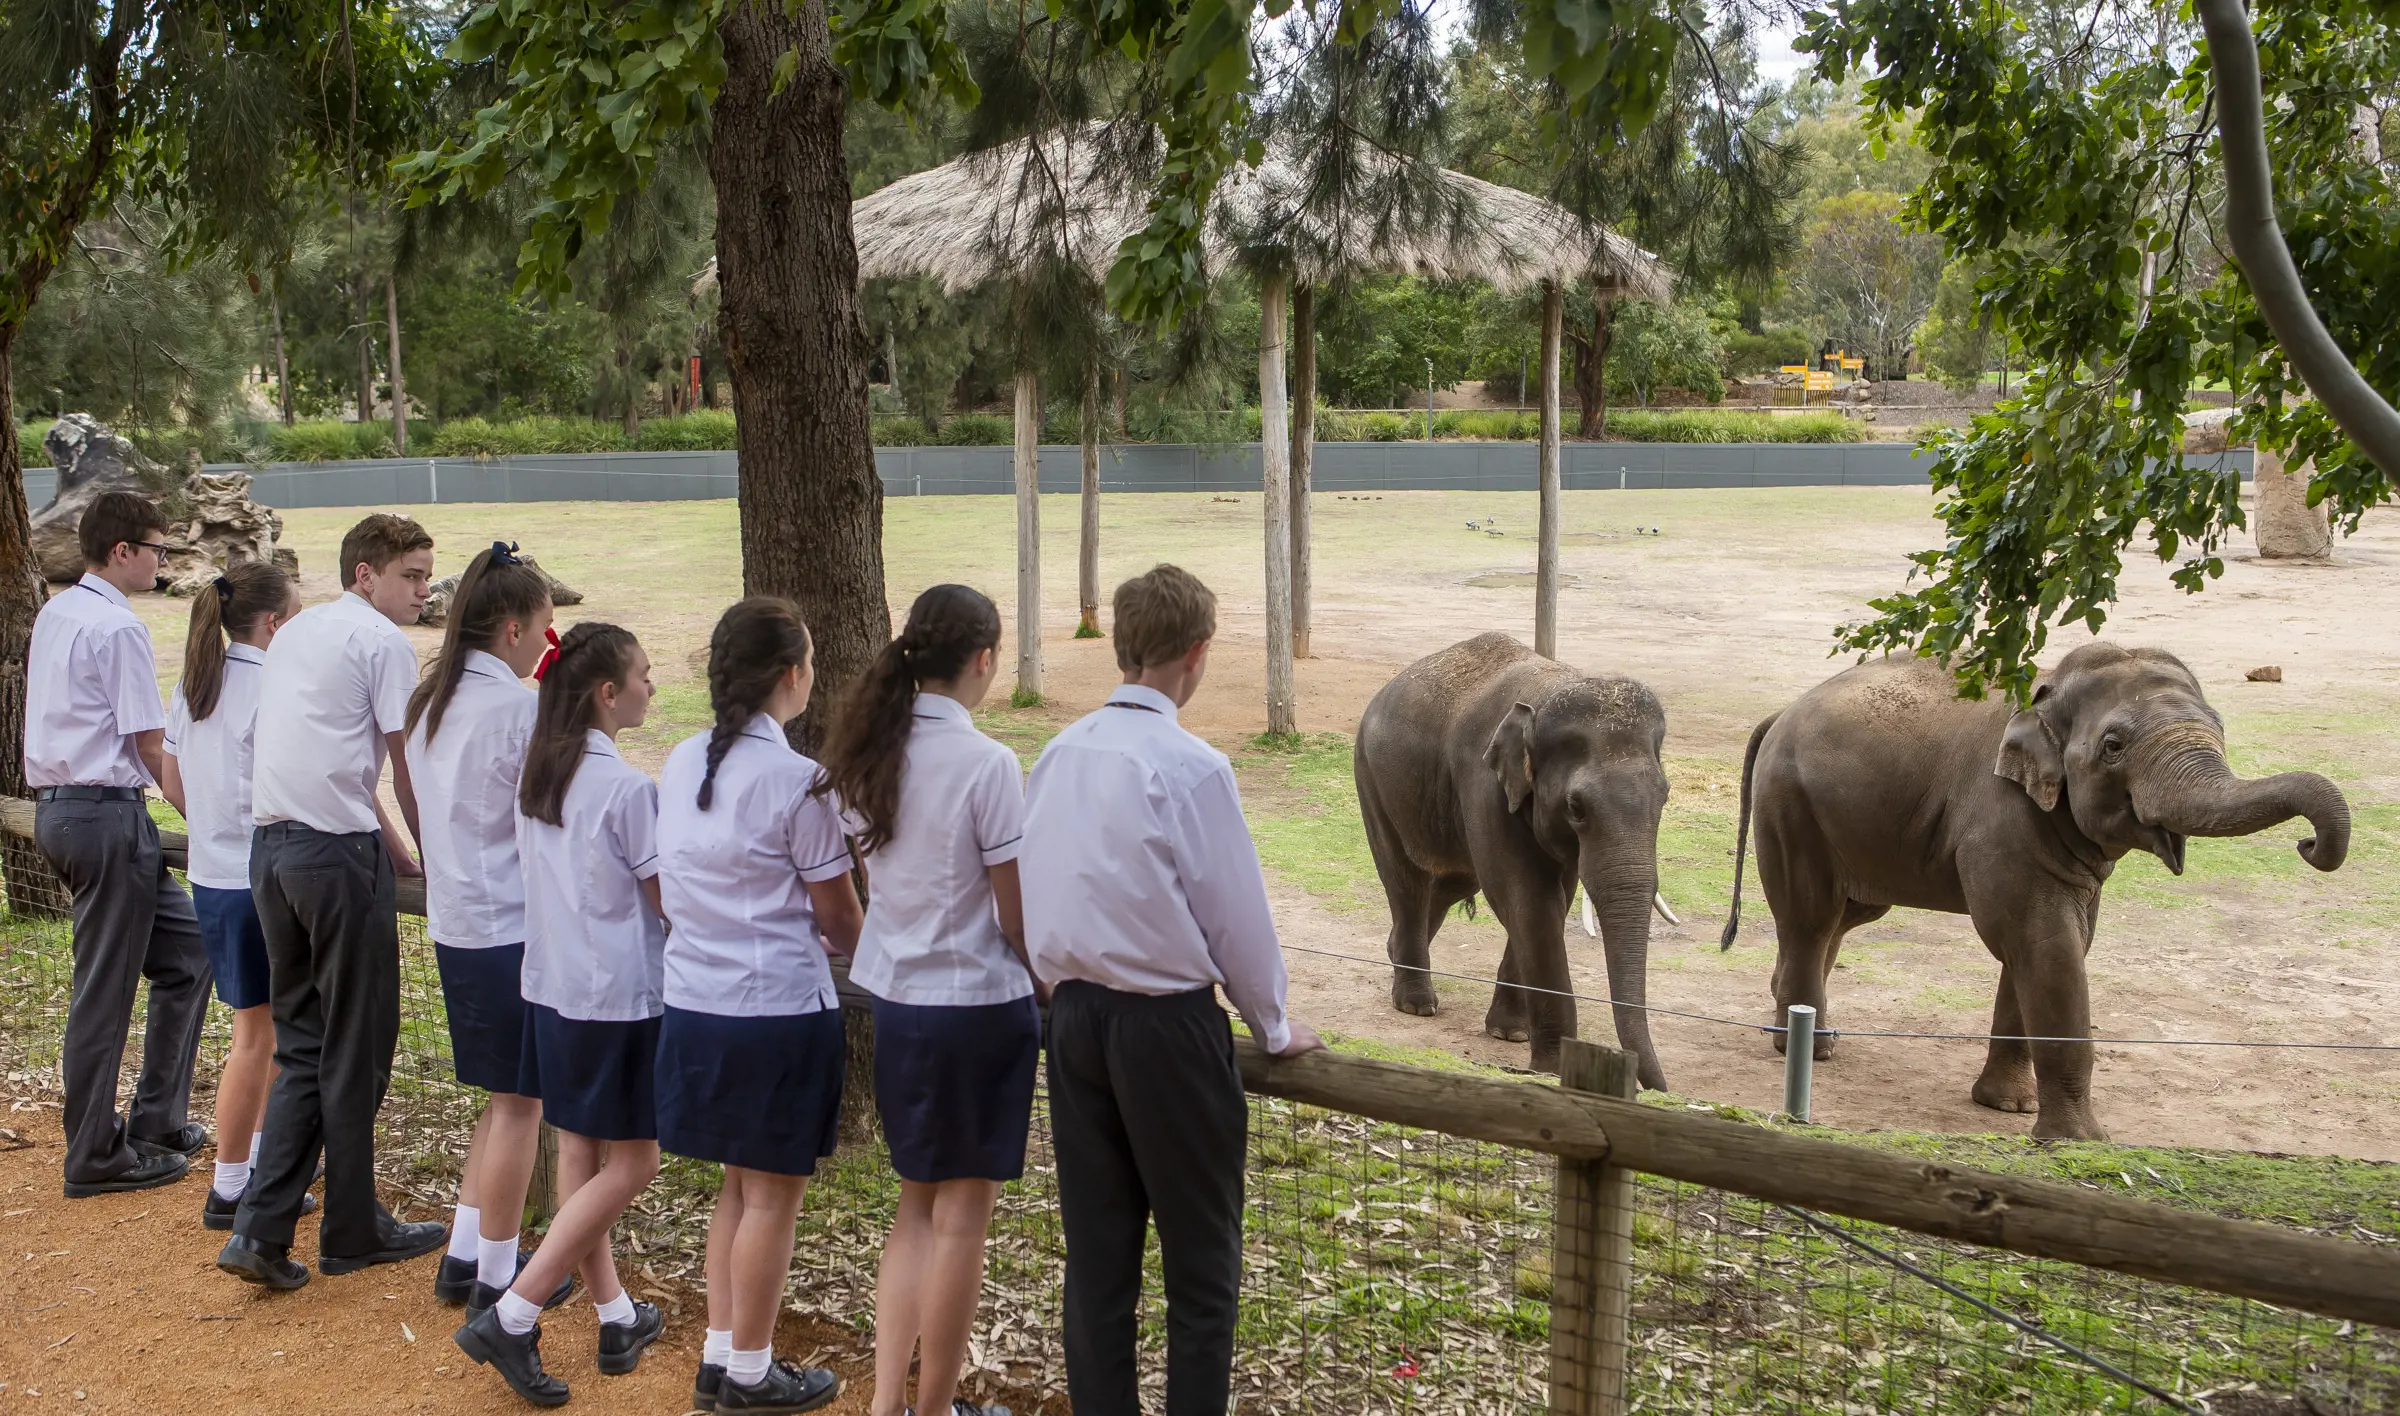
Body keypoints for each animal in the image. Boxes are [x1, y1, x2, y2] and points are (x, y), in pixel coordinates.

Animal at [1355, 633, 1670, 1086]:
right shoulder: (1484, 783)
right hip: (1372, 777)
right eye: (1576, 807)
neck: (1550, 692)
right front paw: (1552, 1067)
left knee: (1454, 881)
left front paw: (1511, 1034)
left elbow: (1554, 897)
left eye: (1665, 796)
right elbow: (1529, 901)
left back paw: (1393, 951)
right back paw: (1415, 1004)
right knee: (1404, 879)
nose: (1658, 1090)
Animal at [1721, 644, 2350, 1139]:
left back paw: (1801, 1024)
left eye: (2220, 727)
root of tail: (1780, 712)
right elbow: (2042, 944)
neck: (2047, 691)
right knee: (1812, 916)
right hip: (1790, 806)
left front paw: (2008, 1106)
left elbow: (2044, 949)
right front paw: (2078, 1141)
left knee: (1847, 915)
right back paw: (1805, 1047)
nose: (2308, 844)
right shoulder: (2000, 816)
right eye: (2114, 745)